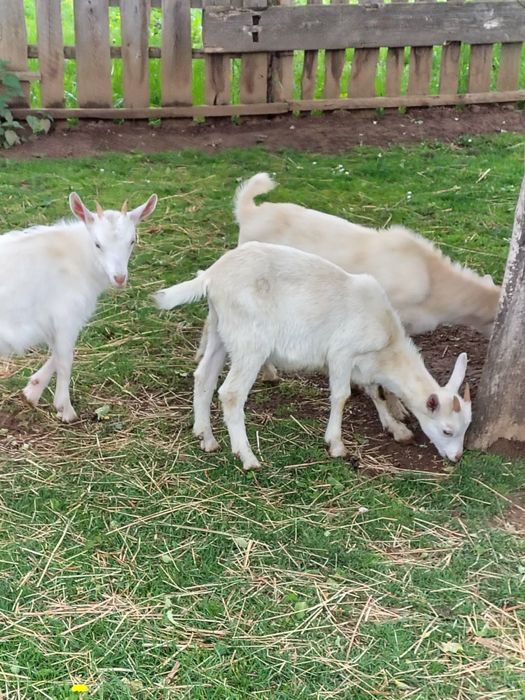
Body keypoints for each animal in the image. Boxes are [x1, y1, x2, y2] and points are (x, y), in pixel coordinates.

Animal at [0, 192, 157, 422]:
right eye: (98, 244)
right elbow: (65, 359)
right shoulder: (66, 315)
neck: (76, 258)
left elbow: (57, 354)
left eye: (132, 241)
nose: (119, 278)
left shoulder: (54, 320)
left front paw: (32, 391)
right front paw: (65, 409)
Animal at [155, 242, 472, 471]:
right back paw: (247, 457)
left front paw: (396, 428)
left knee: (204, 376)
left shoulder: (363, 363)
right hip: (250, 340)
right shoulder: (342, 352)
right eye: (447, 431)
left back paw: (206, 438)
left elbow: (376, 391)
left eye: (466, 427)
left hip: (221, 331)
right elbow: (342, 395)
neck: (386, 343)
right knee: (231, 393)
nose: (457, 458)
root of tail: (212, 275)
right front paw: (336, 444)